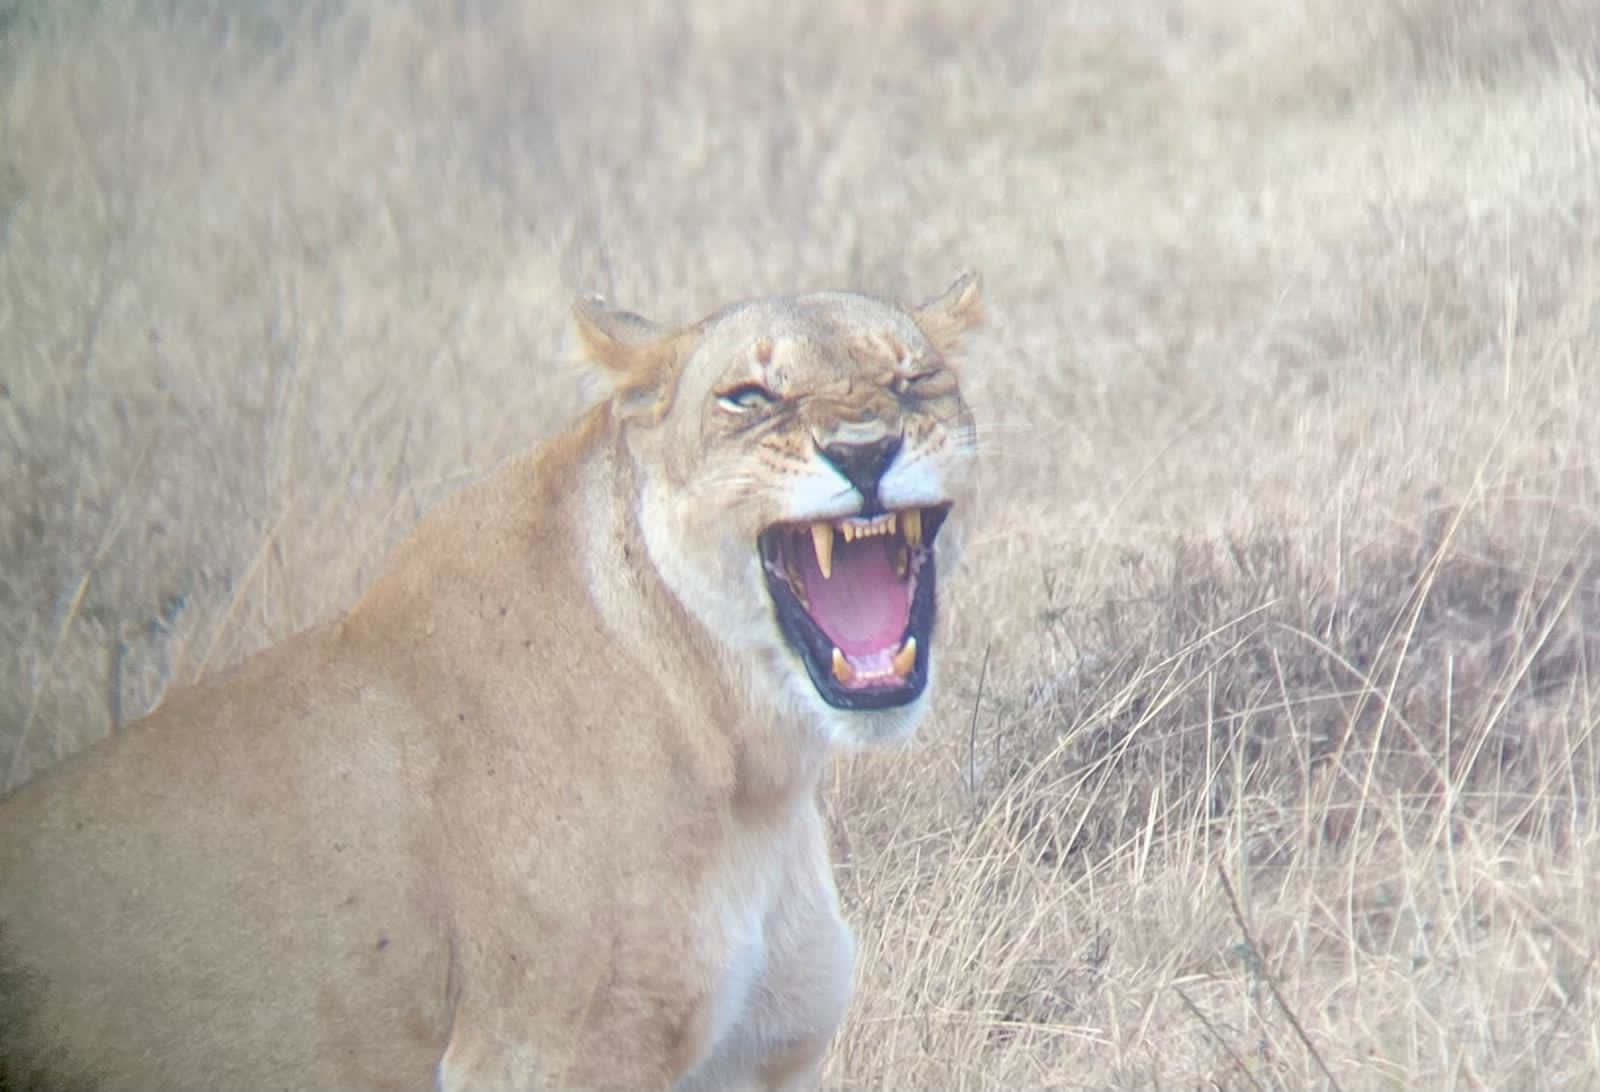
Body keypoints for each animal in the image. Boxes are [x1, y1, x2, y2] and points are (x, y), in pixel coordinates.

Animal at [0, 273, 983, 1090]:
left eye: (915, 378)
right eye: (750, 396)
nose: (866, 451)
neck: (754, 766)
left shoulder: (760, 1053)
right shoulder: (547, 1053)